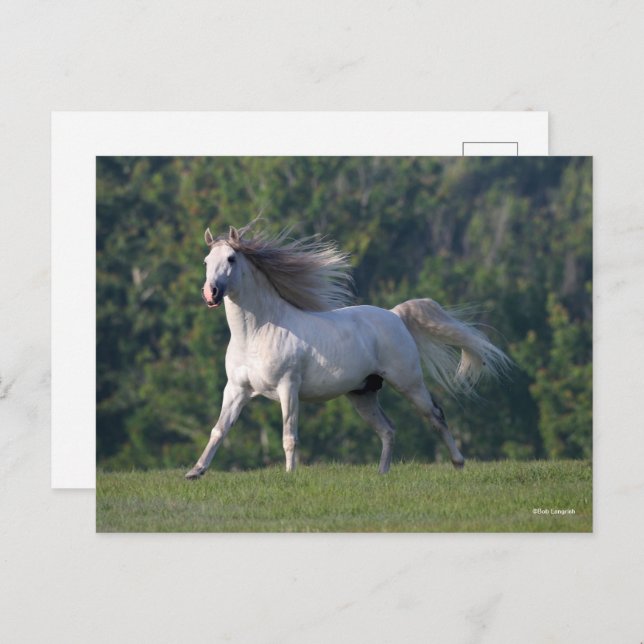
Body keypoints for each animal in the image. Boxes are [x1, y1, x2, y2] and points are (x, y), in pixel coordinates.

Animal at [185, 221, 509, 479]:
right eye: (205, 261)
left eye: (231, 258)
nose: (211, 293)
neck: (257, 333)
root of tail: (395, 315)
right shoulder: (236, 389)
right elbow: (219, 429)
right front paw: (195, 472)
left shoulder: (288, 387)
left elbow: (289, 436)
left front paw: (290, 476)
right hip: (362, 394)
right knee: (388, 429)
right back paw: (381, 474)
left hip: (408, 382)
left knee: (435, 416)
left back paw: (458, 463)